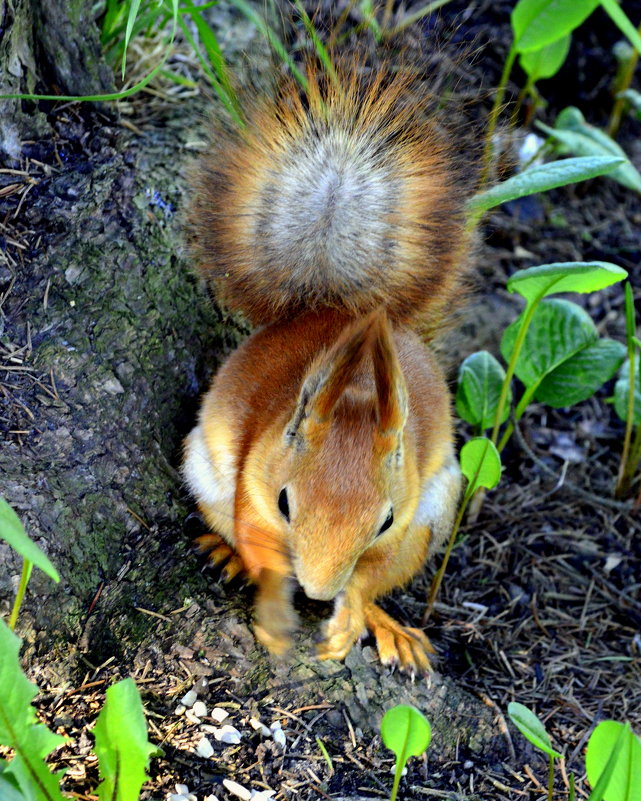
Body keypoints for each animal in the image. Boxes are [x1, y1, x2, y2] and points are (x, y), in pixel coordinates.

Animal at [182, 59, 472, 672]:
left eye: (383, 518)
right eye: (285, 502)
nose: (317, 592)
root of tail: (335, 309)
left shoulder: (407, 512)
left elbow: (369, 576)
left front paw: (350, 619)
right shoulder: (254, 483)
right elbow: (257, 540)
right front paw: (271, 609)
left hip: (435, 513)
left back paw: (389, 628)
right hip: (204, 470)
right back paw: (226, 555)